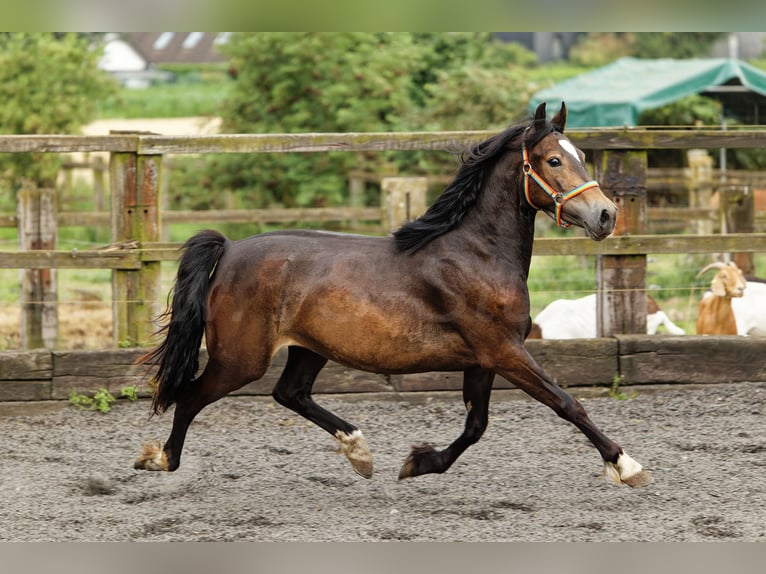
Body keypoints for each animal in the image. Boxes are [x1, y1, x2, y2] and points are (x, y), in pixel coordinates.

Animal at [135, 103, 652, 490]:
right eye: (553, 161)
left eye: (580, 153)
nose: (605, 215)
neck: (477, 253)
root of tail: (229, 250)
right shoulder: (504, 351)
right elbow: (566, 403)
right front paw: (625, 465)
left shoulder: (484, 358)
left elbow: (476, 425)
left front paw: (418, 463)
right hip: (241, 359)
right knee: (192, 396)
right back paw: (161, 459)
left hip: (308, 348)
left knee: (290, 393)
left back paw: (358, 451)